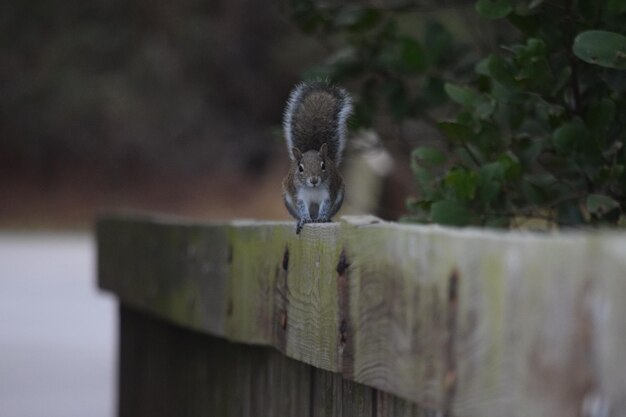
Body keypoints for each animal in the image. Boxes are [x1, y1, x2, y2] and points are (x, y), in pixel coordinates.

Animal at [282, 79, 352, 232]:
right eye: (300, 168)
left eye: (323, 166)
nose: (314, 180)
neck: (313, 189)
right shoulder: (299, 195)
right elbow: (302, 207)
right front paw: (304, 219)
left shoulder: (328, 193)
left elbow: (325, 205)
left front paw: (323, 218)